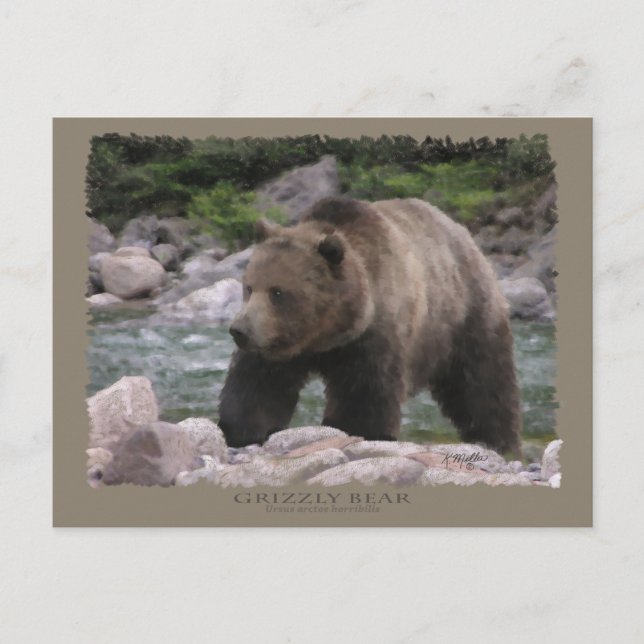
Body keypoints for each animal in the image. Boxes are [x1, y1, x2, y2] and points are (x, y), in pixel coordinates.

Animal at [218, 196, 522, 456]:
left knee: (482, 384)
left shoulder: (373, 337)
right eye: (249, 287)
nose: (239, 330)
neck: (327, 335)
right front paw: (241, 431)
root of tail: (465, 235)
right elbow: (258, 384)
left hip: (464, 315)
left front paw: (358, 430)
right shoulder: (277, 345)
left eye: (278, 292)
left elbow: (364, 393)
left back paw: (498, 440)